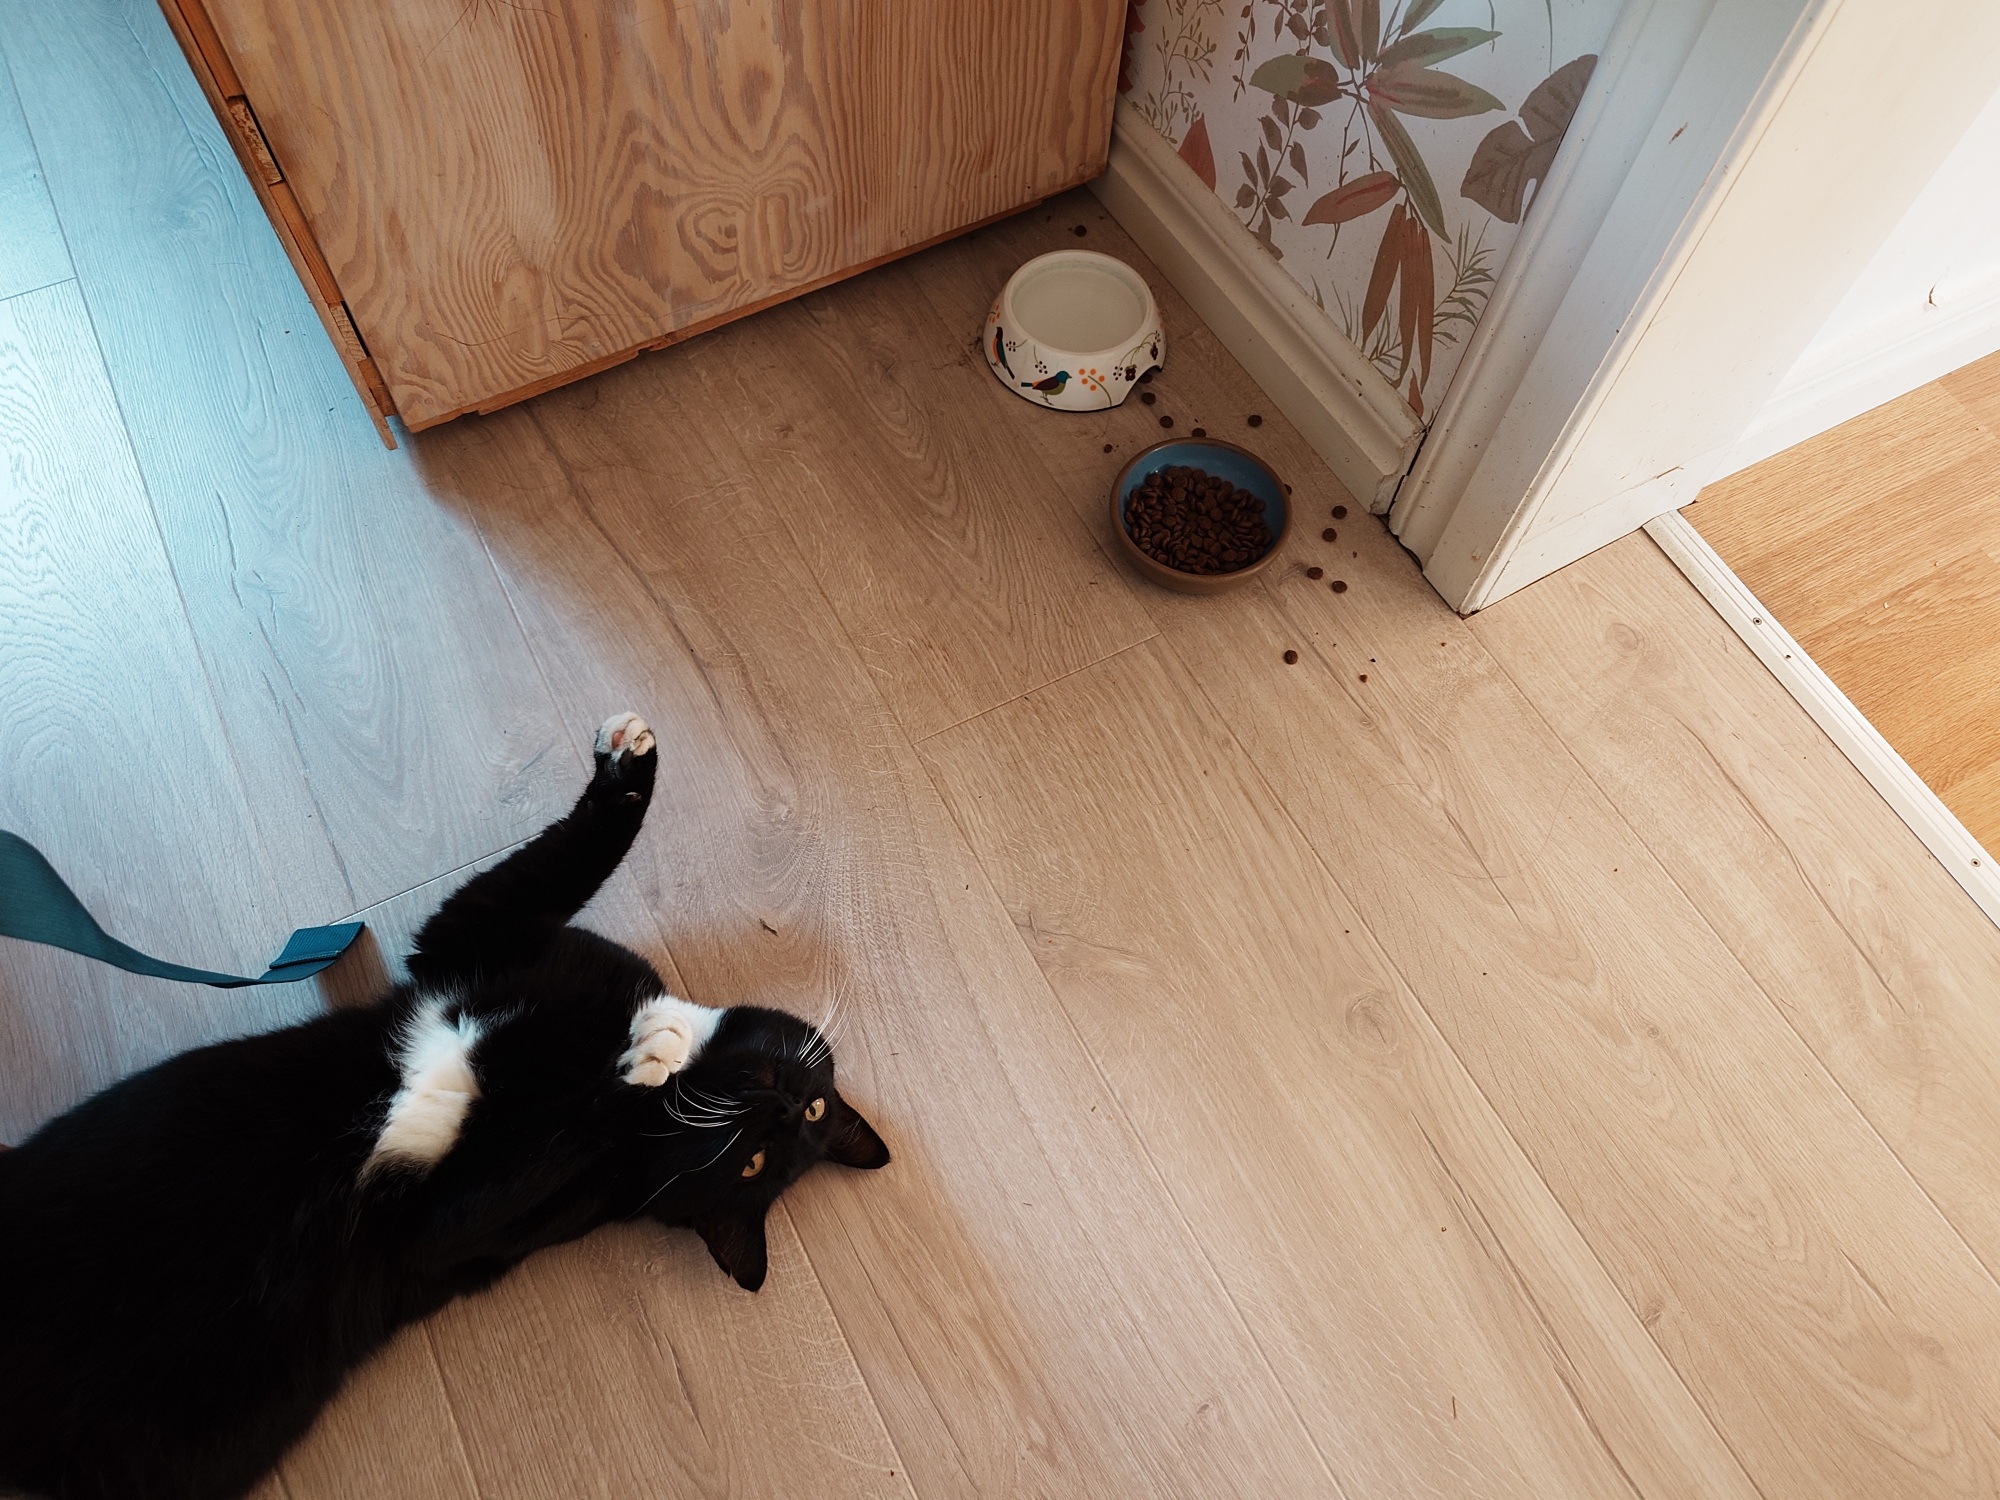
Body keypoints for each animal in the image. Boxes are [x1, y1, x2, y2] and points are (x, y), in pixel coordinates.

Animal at [0, 712, 888, 1500]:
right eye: (812, 1113)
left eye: (757, 1161)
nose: (781, 1107)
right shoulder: (476, 945)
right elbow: (552, 869)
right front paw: (629, 767)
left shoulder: (451, 1225)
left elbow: (560, 1132)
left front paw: (649, 1055)